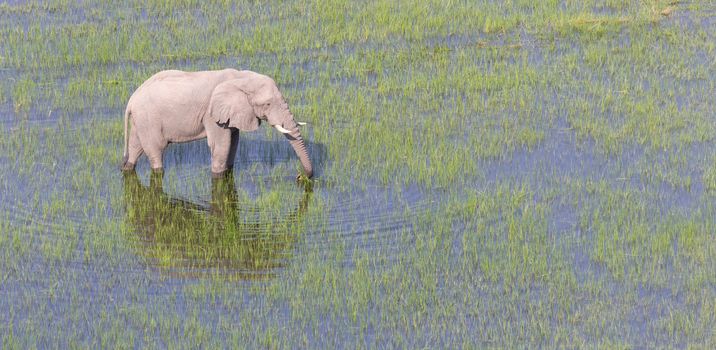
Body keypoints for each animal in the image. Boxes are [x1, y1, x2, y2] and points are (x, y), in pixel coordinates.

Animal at [121, 68, 312, 178]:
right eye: (267, 104)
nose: (302, 177)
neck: (241, 77)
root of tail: (131, 99)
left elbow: (233, 142)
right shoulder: (211, 114)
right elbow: (221, 144)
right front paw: (218, 175)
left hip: (141, 120)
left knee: (135, 146)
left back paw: (126, 168)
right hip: (148, 119)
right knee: (156, 150)